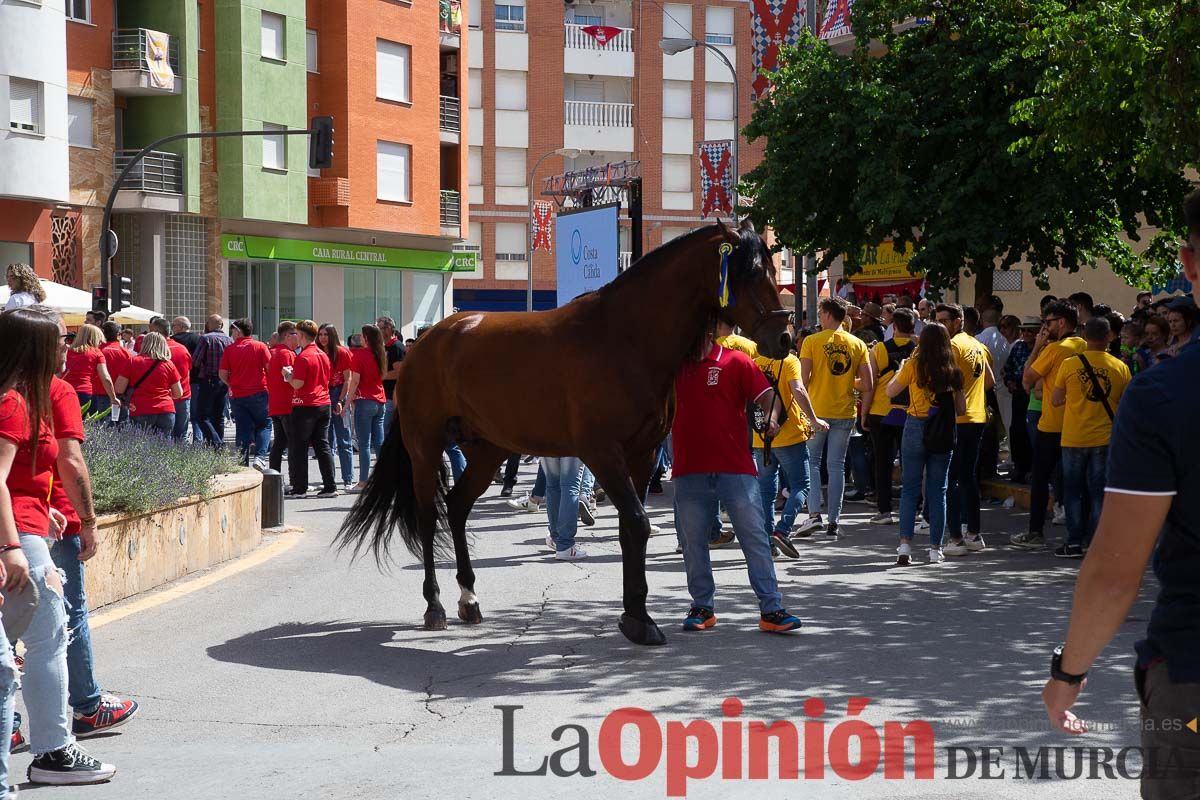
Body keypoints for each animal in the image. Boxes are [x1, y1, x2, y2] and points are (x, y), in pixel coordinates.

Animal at [335, 218, 793, 646]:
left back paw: (469, 598)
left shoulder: (642, 455)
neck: (625, 339)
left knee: (459, 506)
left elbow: (631, 528)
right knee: (430, 515)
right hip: (426, 446)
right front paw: (640, 620)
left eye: (773, 268)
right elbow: (638, 523)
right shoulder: (603, 453)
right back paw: (435, 605)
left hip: (488, 449)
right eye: (752, 271)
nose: (784, 337)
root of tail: (427, 341)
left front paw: (635, 615)